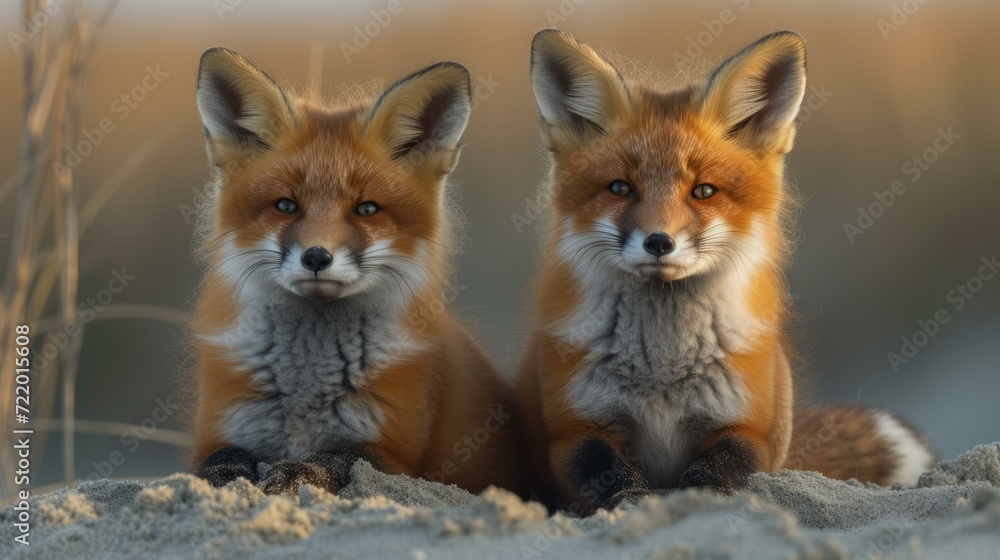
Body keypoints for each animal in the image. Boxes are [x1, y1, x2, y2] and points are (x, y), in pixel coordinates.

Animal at [188, 47, 526, 496]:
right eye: (286, 205)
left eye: (366, 209)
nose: (316, 257)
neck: (306, 387)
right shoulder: (220, 428)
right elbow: (220, 458)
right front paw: (222, 480)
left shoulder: (392, 453)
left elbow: (337, 456)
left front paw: (295, 472)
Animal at [515, 29, 937, 514]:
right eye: (620, 188)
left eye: (703, 191)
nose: (659, 242)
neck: (663, 369)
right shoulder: (572, 431)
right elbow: (607, 473)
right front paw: (632, 501)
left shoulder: (750, 429)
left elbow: (715, 470)